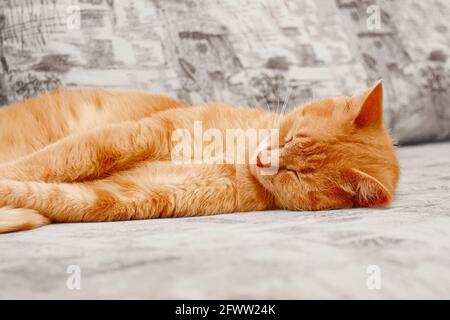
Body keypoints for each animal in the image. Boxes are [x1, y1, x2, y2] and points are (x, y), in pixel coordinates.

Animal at [0, 81, 400, 234]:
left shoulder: (134, 195)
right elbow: (56, 161)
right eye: (289, 136)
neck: (236, 154)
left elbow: (52, 193)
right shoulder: (143, 133)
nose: (262, 162)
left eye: (298, 175)